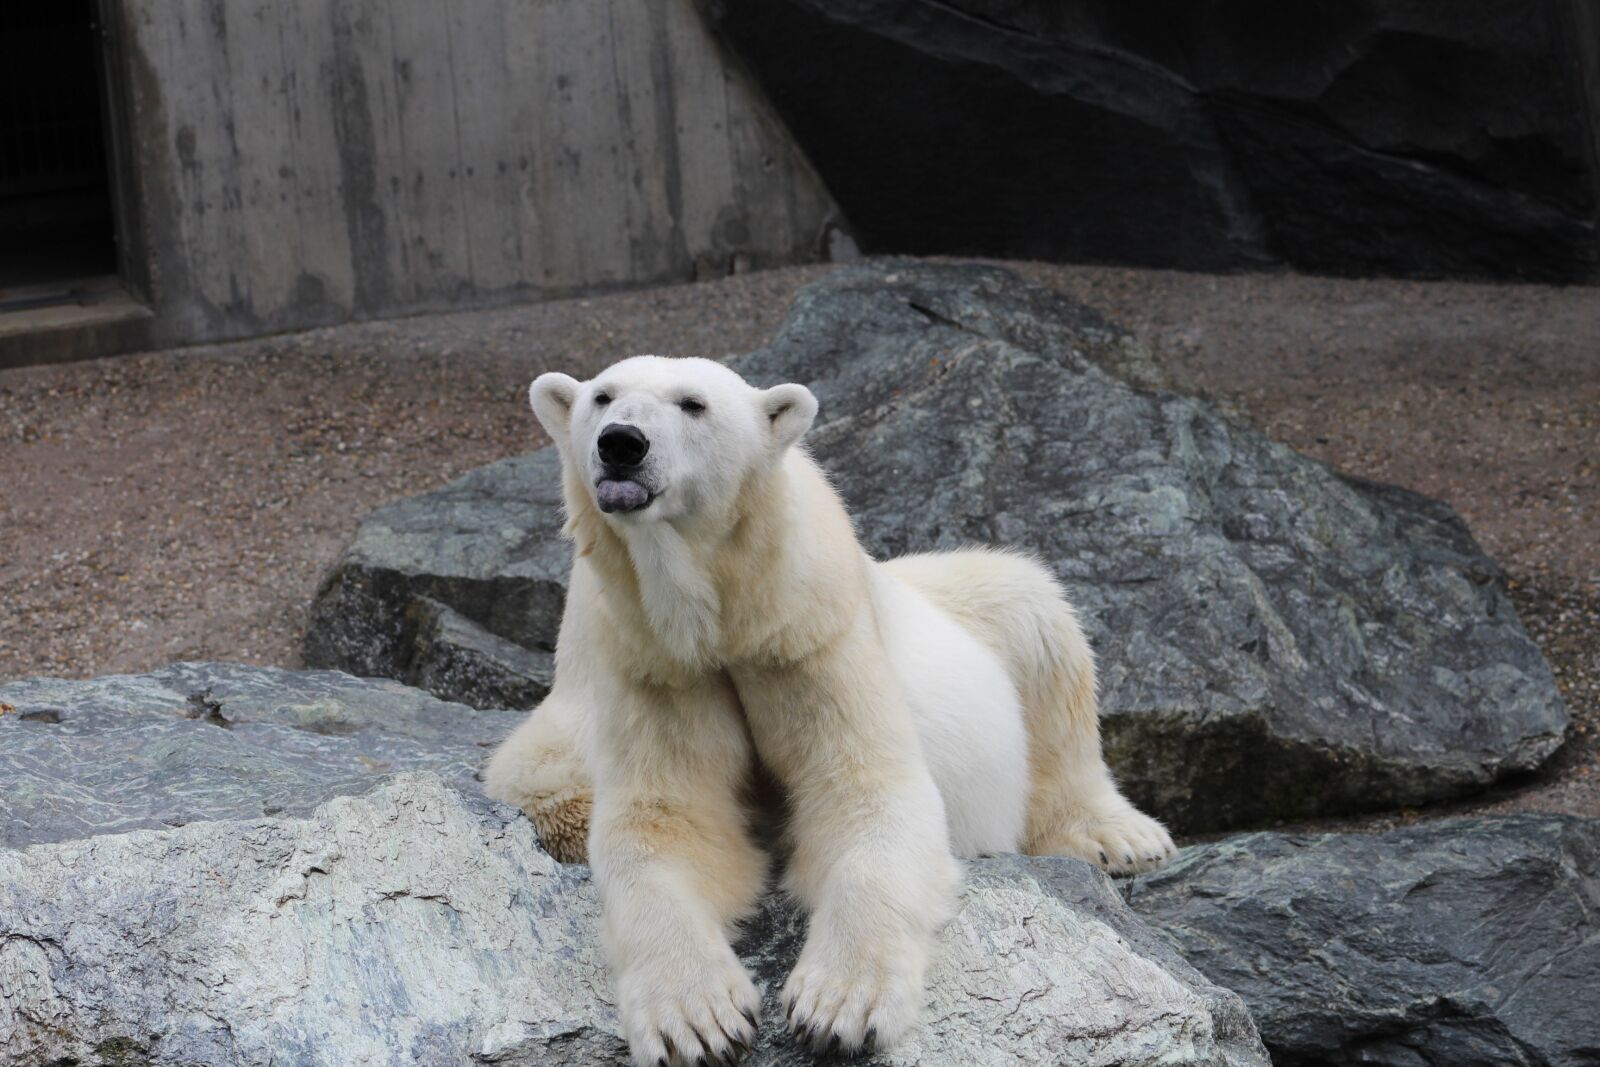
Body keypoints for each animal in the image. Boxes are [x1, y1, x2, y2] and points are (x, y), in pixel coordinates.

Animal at [484, 355, 1175, 1066]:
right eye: (602, 396)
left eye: (693, 404)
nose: (621, 443)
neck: (724, 612)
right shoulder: (654, 661)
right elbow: (667, 820)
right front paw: (697, 1022)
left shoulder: (809, 635)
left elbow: (867, 792)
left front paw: (839, 1008)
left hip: (969, 612)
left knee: (1035, 616)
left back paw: (1121, 837)